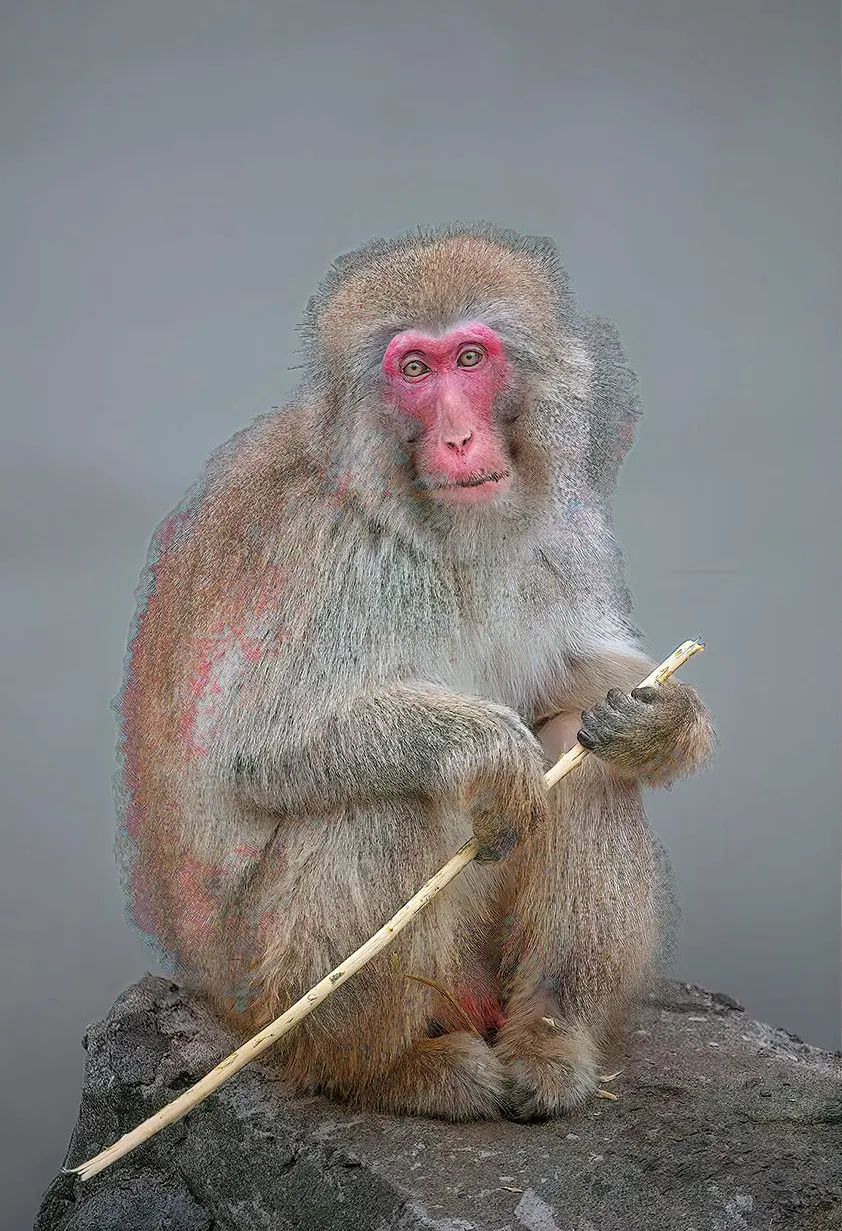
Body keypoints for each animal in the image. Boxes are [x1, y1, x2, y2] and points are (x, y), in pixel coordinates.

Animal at [115, 223, 715, 1123]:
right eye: (415, 371)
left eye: (469, 357)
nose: (460, 438)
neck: (420, 518)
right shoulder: (324, 550)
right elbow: (251, 747)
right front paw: (488, 747)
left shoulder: (560, 529)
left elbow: (571, 684)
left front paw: (666, 719)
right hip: (266, 984)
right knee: (385, 800)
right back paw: (383, 1070)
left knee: (582, 758)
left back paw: (549, 1033)